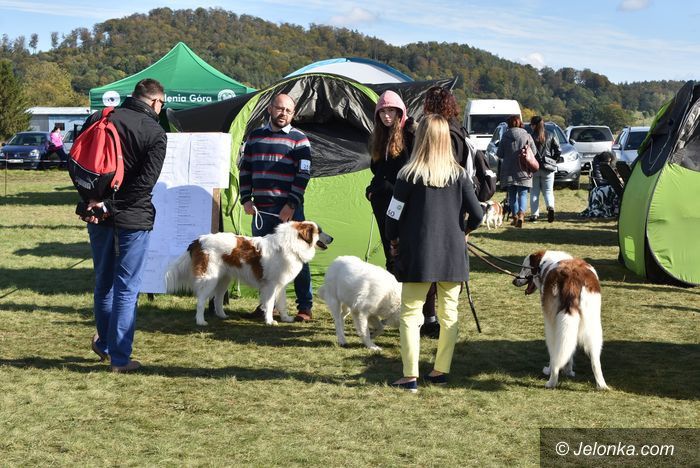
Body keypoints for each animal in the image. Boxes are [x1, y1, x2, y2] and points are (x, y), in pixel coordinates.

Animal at [166, 221, 333, 326]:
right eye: (319, 231)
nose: (332, 238)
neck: (293, 243)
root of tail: (198, 240)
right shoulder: (271, 285)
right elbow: (270, 303)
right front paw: (269, 321)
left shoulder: (281, 285)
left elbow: (282, 303)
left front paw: (286, 318)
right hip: (208, 280)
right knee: (201, 301)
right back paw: (201, 321)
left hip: (223, 279)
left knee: (218, 298)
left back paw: (222, 315)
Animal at [512, 250, 609, 390]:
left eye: (524, 268)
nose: (514, 281)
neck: (545, 264)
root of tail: (572, 278)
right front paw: (569, 371)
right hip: (593, 324)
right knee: (595, 359)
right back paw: (601, 385)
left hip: (552, 325)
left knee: (555, 353)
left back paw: (551, 380)